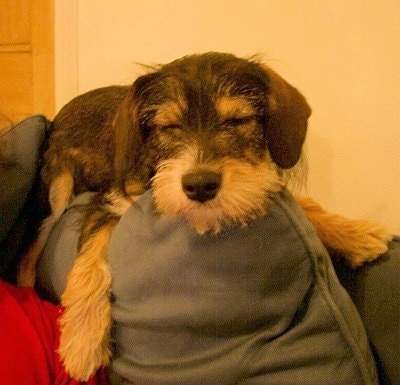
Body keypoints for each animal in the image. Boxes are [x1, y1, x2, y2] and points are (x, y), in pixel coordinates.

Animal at [18, 52, 390, 380]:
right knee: (33, 242)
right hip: (58, 190)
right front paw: (81, 345)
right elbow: (90, 262)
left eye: (238, 120)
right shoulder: (108, 202)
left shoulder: (258, 181)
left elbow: (307, 203)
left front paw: (357, 234)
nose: (199, 185)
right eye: (168, 126)